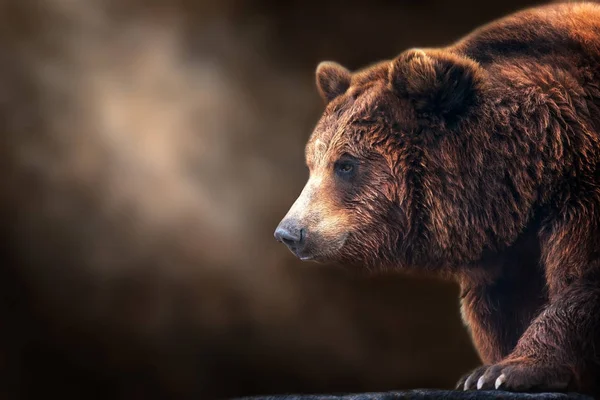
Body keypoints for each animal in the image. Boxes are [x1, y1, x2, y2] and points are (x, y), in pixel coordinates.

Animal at [276, 1, 600, 396]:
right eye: (312, 162)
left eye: (345, 165)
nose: (290, 232)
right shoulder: (508, 245)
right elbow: (503, 304)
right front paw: (486, 370)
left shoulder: (581, 189)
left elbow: (582, 279)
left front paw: (508, 370)